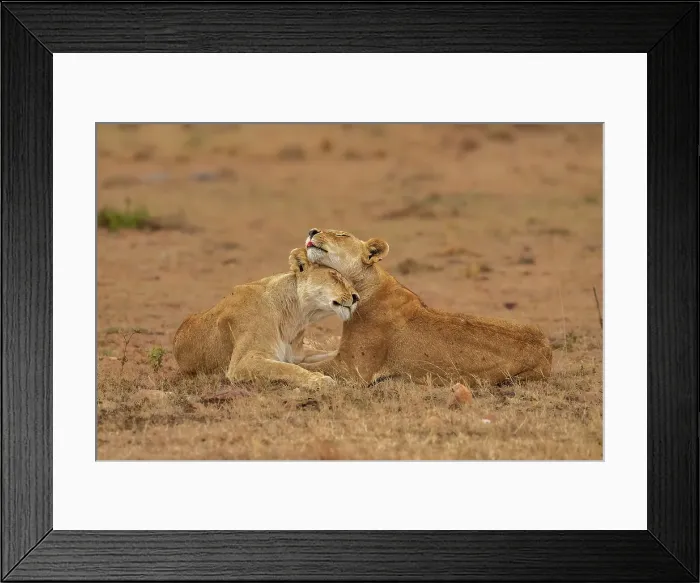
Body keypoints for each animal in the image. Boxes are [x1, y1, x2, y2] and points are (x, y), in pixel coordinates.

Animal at [172, 247, 360, 389]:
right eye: (334, 276)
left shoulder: (298, 354)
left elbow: (327, 354)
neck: (296, 316)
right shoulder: (242, 362)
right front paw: (319, 379)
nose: (356, 297)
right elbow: (286, 368)